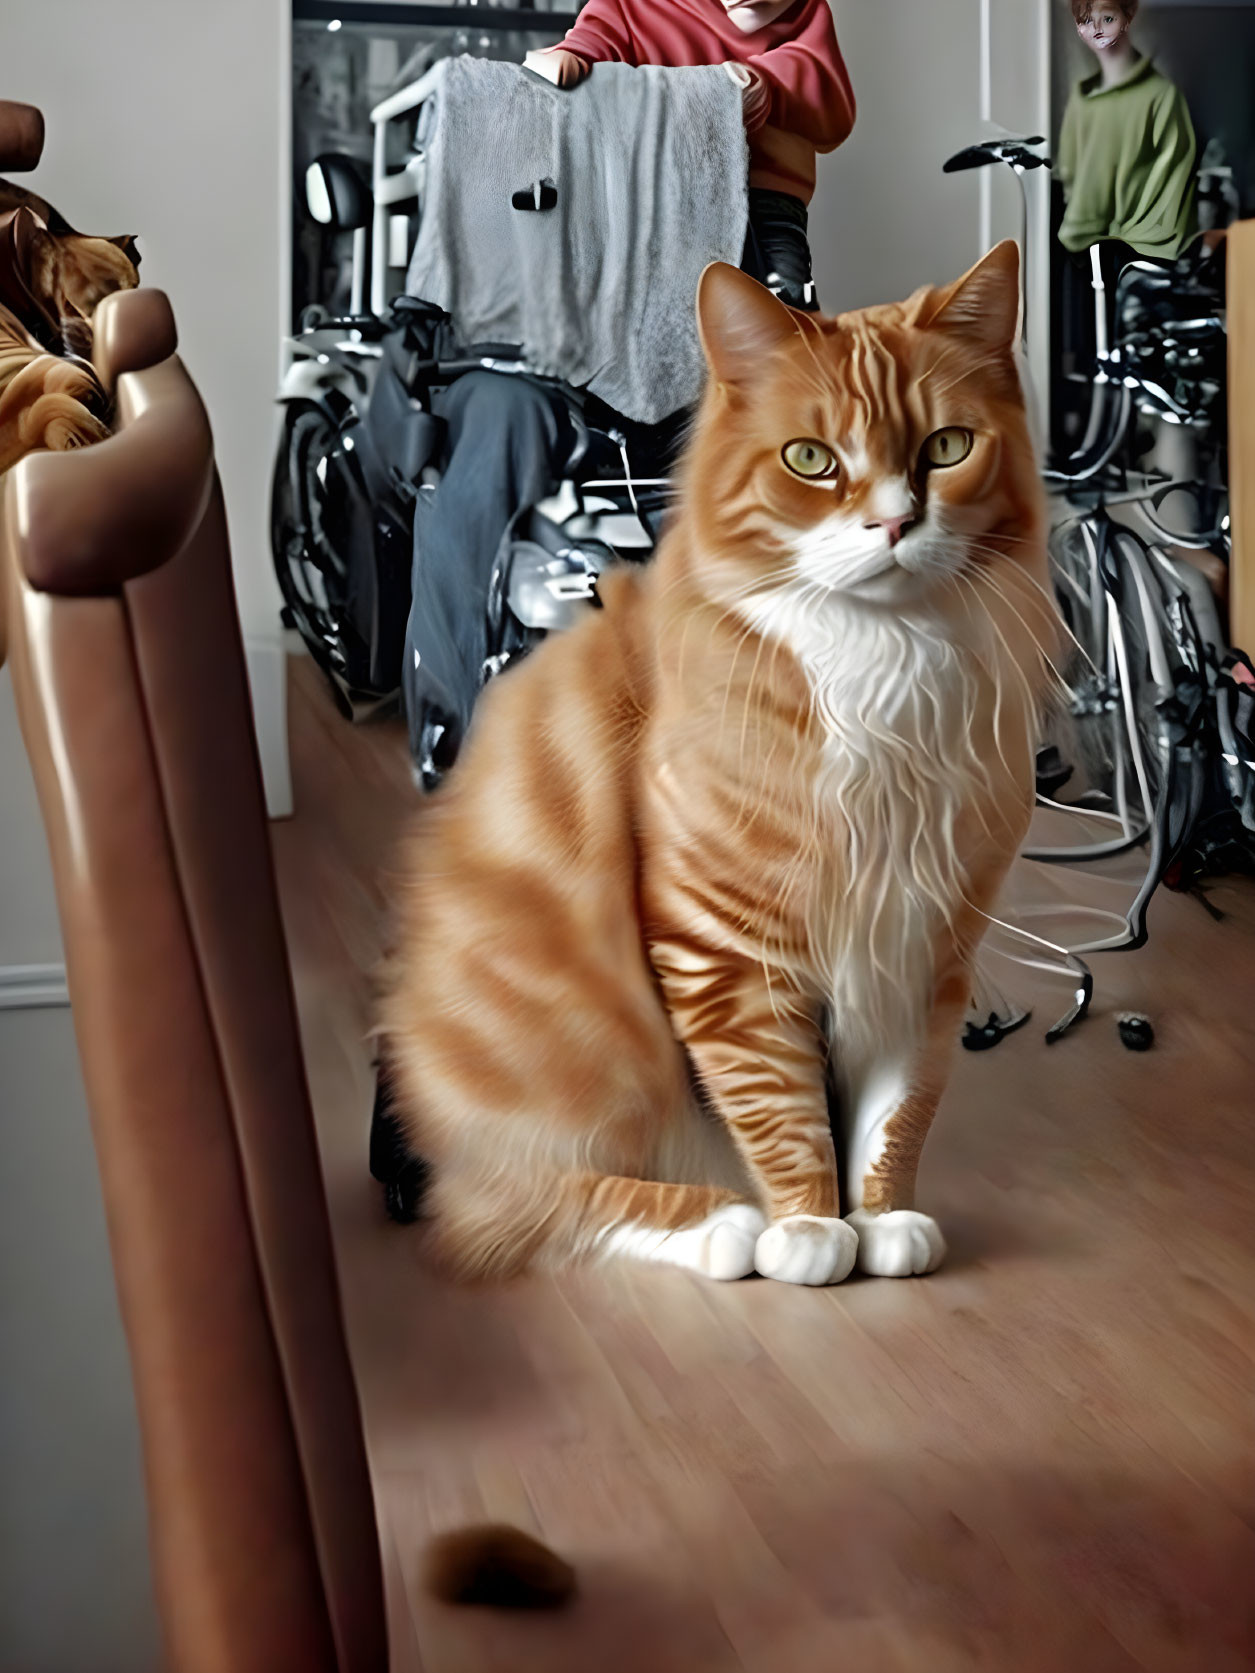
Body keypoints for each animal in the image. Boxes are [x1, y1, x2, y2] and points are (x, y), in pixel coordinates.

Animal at [383, 247, 1064, 1284]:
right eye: (811, 460)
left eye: (947, 448)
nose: (895, 524)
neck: (885, 660)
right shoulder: (724, 946)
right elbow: (780, 1110)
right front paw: (809, 1229)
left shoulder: (922, 942)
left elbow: (893, 1111)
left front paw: (881, 1219)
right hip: (578, 1052)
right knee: (522, 1202)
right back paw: (717, 1224)